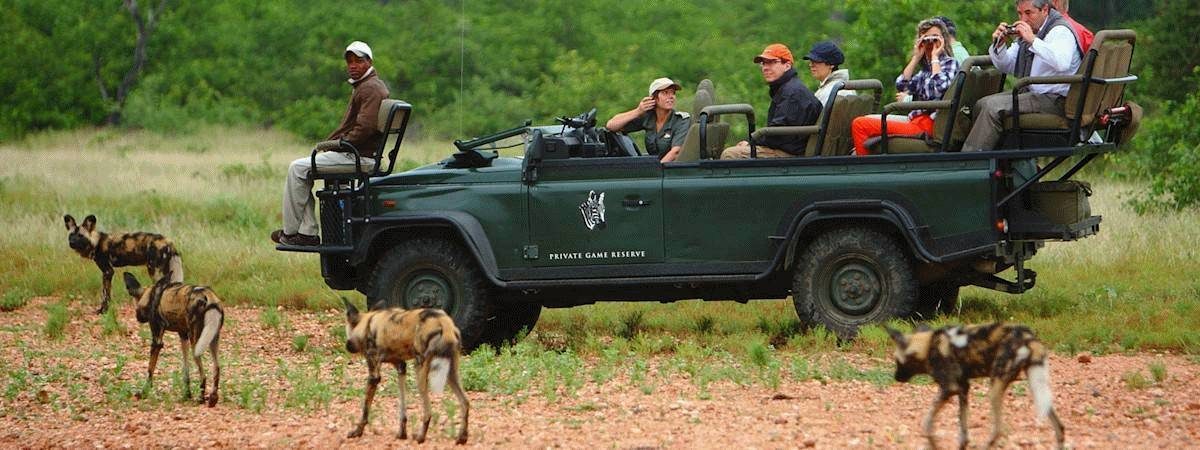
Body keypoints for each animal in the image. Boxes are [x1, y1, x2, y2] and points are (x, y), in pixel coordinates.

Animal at [124, 271, 225, 408]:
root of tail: (210, 296)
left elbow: (150, 371)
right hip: (211, 340)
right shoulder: (183, 337)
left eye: (135, 306)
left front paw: (143, 392)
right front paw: (187, 394)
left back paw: (200, 398)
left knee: (203, 375)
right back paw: (213, 398)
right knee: (217, 368)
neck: (150, 296)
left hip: (196, 345)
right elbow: (186, 371)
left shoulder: (157, 341)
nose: (137, 317)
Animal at [343, 300, 468, 444]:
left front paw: (357, 431)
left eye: (347, 331)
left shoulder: (374, 375)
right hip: (451, 373)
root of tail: (443, 321)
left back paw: (420, 437)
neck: (368, 323)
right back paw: (462, 437)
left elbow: (365, 409)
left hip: (420, 371)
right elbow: (402, 408)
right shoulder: (401, 367)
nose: (347, 346)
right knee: (465, 403)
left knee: (428, 411)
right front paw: (402, 434)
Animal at [888, 321, 1065, 448]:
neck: (928, 345)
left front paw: (931, 442)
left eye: (897, 361)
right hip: (1037, 388)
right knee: (1060, 428)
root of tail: (1029, 338)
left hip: (995, 389)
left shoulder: (949, 388)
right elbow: (963, 431)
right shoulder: (963, 388)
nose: (896, 378)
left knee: (999, 430)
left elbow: (927, 424)